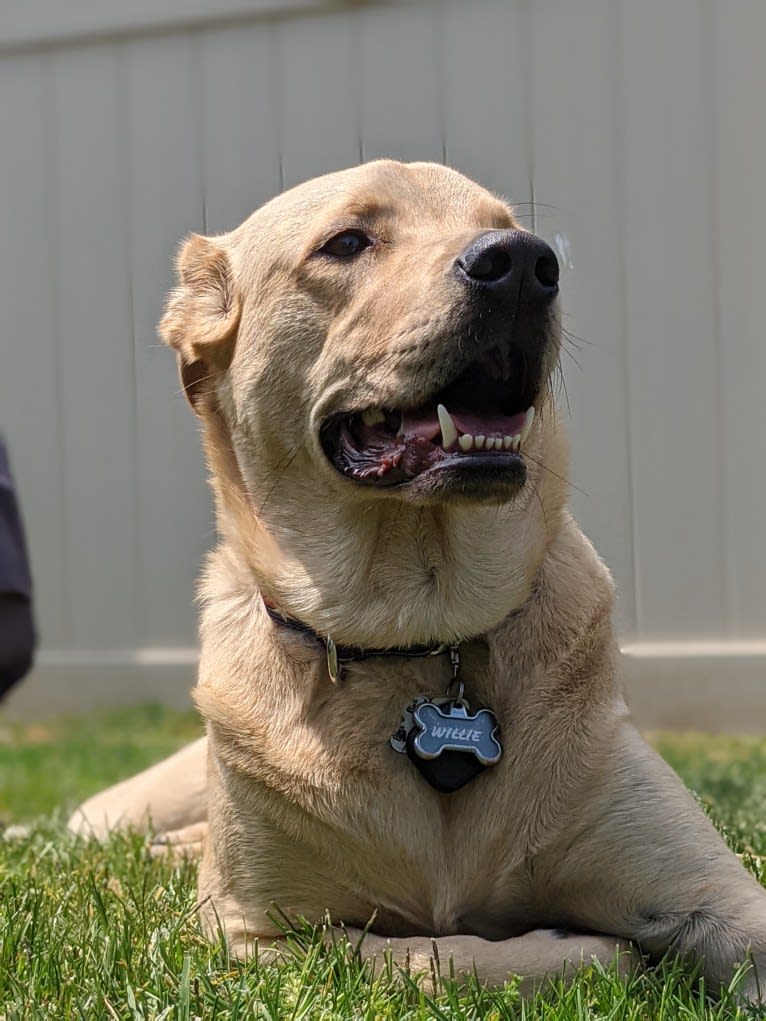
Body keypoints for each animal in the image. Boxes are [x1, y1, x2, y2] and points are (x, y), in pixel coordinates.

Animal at [68, 163, 763, 1000]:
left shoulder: (717, 893)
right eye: (346, 242)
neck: (419, 629)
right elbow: (433, 957)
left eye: (510, 227)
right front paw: (591, 948)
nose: (524, 264)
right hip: (125, 809)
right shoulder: (253, 933)